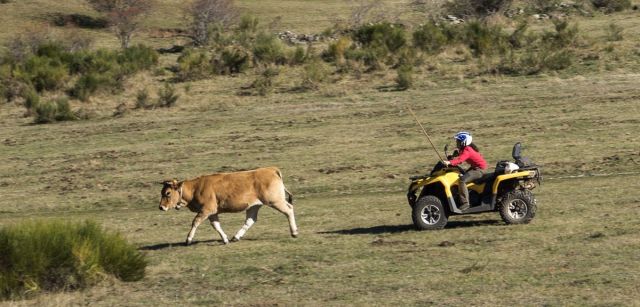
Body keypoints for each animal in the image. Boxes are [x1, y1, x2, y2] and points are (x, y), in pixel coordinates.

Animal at [160, 167, 300, 247]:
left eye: (167, 193)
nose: (161, 207)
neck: (195, 188)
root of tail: (271, 169)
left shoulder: (206, 210)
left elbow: (195, 222)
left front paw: (188, 239)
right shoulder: (212, 212)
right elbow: (216, 226)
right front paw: (225, 239)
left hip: (275, 201)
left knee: (289, 210)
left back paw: (294, 232)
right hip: (254, 206)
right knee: (250, 220)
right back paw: (236, 237)